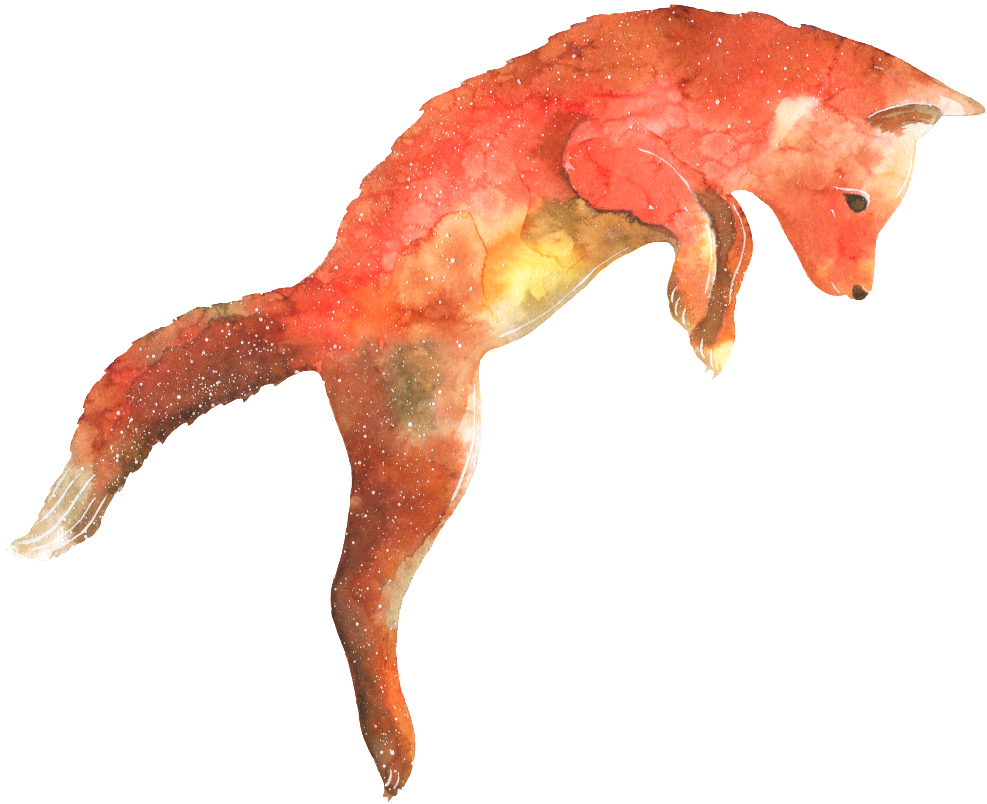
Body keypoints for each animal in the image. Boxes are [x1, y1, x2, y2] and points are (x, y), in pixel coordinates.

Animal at [7, 5, 982, 800]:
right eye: (854, 202)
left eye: (881, 216)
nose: (857, 295)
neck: (705, 80)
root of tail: (314, 310)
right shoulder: (597, 153)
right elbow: (699, 211)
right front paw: (696, 295)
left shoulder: (686, 182)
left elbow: (729, 228)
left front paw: (709, 323)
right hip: (438, 464)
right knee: (350, 595)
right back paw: (393, 752)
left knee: (351, 595)